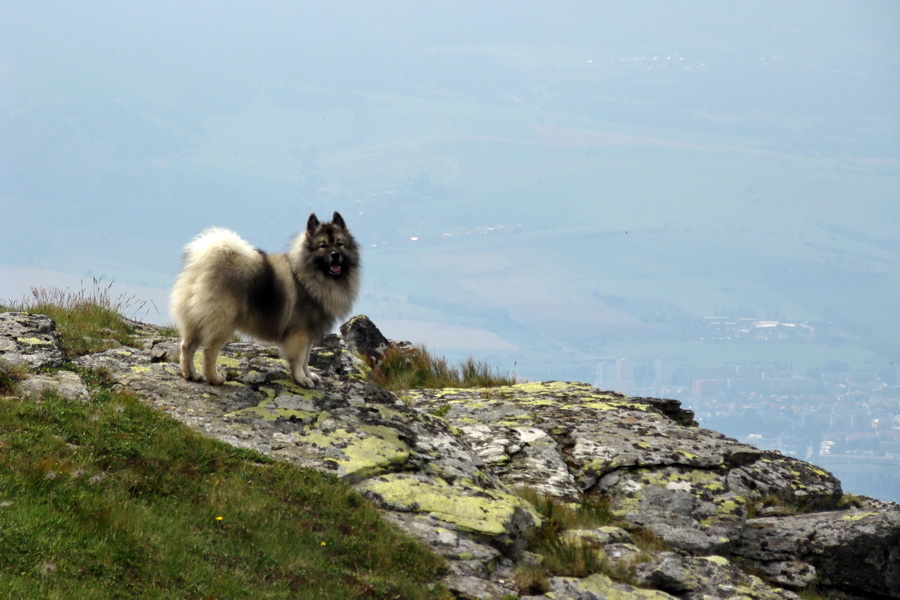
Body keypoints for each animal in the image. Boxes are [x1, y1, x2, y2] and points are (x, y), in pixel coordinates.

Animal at [171, 213, 360, 386]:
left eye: (340, 244)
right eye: (323, 246)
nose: (335, 254)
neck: (308, 276)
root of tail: (204, 267)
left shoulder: (309, 334)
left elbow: (307, 358)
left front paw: (309, 375)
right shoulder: (300, 332)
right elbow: (299, 359)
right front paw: (301, 379)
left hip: (195, 321)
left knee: (187, 346)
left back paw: (191, 375)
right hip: (222, 323)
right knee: (209, 351)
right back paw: (214, 378)